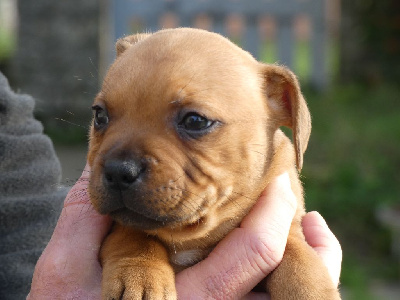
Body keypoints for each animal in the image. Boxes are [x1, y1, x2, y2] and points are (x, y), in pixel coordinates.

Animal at [88, 27, 340, 298]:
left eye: (195, 121)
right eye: (99, 116)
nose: (118, 171)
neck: (190, 238)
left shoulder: (290, 229)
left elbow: (299, 259)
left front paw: (311, 289)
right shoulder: (122, 225)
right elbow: (133, 235)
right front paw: (138, 274)